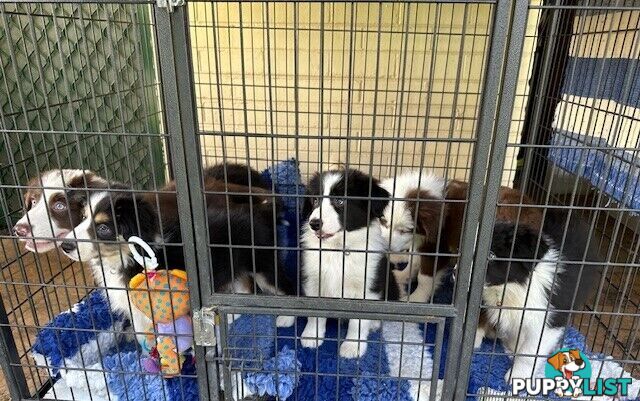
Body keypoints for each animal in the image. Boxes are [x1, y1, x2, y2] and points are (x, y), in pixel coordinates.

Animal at [298, 167, 398, 358]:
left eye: (340, 200)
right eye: (315, 200)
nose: (314, 223)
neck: (337, 249)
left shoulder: (368, 284)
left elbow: (358, 320)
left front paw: (352, 347)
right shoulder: (313, 279)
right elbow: (314, 311)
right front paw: (312, 335)